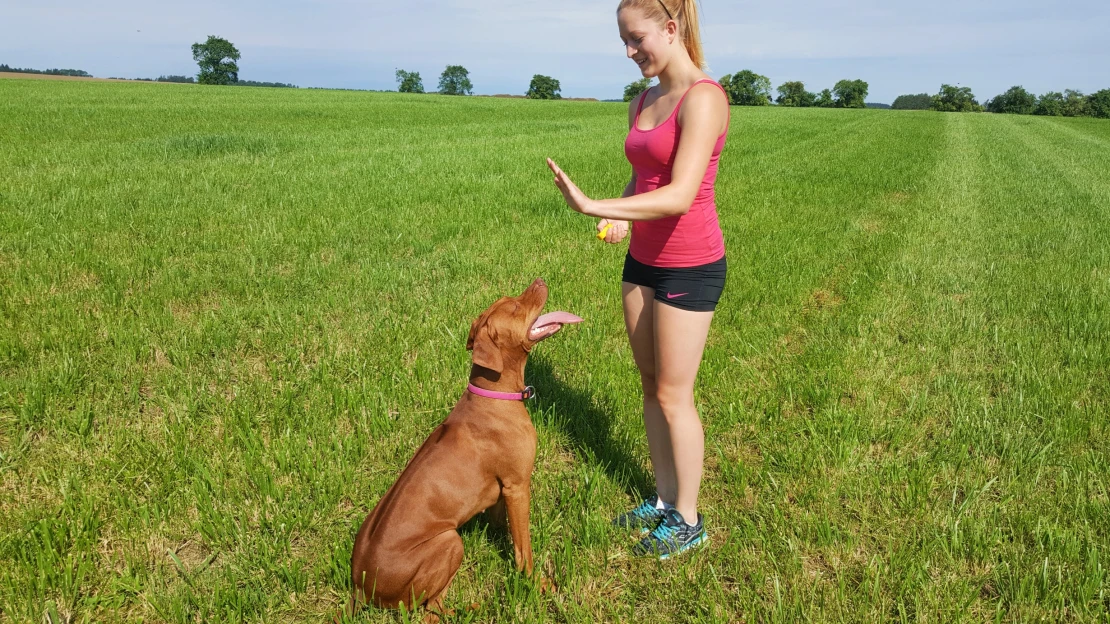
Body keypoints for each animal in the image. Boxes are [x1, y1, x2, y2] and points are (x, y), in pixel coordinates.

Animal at [348, 279, 581, 617]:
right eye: (515, 306)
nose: (539, 281)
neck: (495, 396)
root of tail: (361, 588)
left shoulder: (503, 492)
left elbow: (506, 530)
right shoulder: (517, 486)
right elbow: (524, 549)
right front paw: (536, 583)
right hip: (449, 541)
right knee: (431, 608)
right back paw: (476, 607)